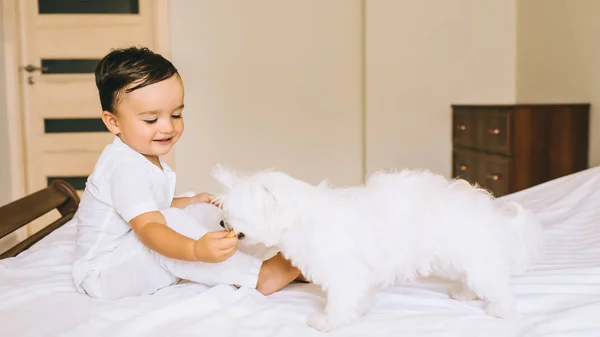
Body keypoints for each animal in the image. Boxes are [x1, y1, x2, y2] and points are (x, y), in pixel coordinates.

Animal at [211, 165, 544, 330]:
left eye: (232, 211)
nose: (221, 222)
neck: (302, 216)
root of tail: (491, 212)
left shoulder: (345, 274)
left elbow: (340, 301)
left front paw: (328, 322)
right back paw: (465, 294)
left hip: (473, 257)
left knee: (497, 286)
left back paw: (501, 311)